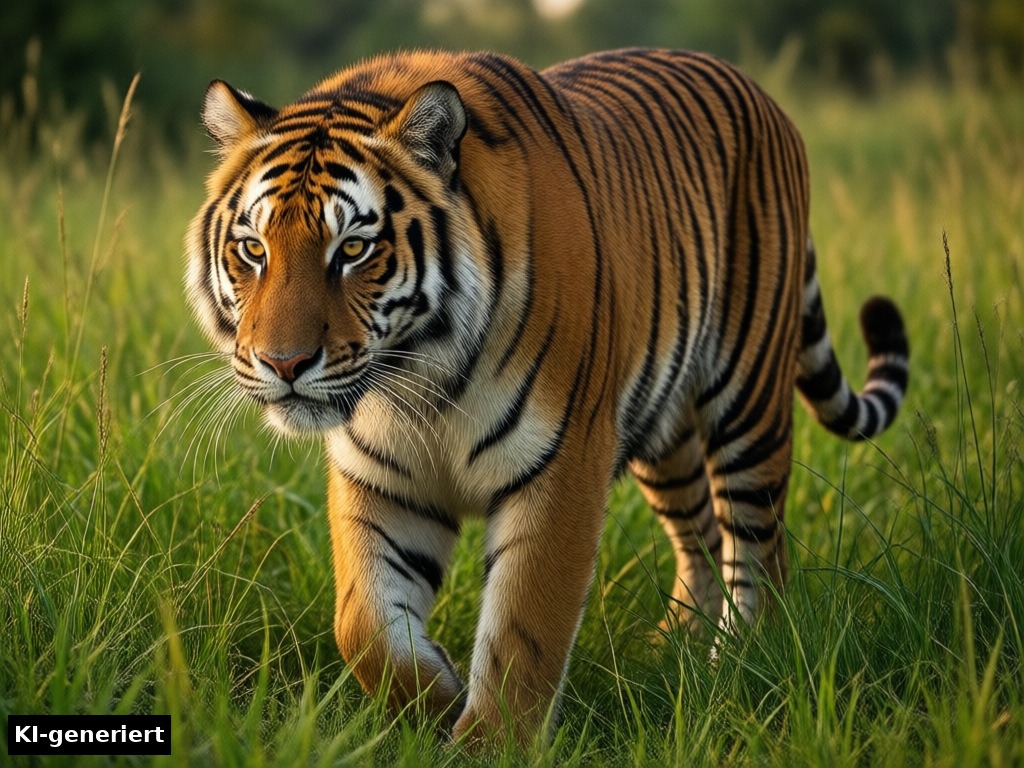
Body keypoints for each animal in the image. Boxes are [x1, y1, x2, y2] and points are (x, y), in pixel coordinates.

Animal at [185, 47, 909, 744]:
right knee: (700, 533)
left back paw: (739, 663)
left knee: (759, 547)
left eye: (355, 248)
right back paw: (677, 651)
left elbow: (522, 634)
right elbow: (363, 626)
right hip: (664, 433)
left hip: (748, 400)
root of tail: (755, 89)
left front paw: (488, 748)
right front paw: (438, 698)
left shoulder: (561, 464)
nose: (283, 363)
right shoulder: (381, 477)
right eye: (253, 249)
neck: (418, 379)